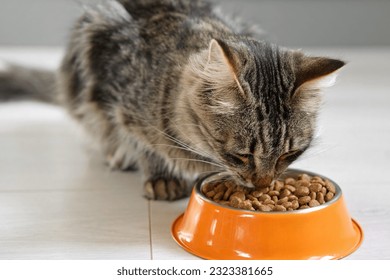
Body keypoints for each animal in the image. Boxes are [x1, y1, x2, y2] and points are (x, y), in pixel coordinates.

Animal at [0, 1, 344, 200]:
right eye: (241, 156)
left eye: (290, 155)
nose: (262, 186)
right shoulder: (115, 96)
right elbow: (142, 142)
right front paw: (160, 175)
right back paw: (117, 155)